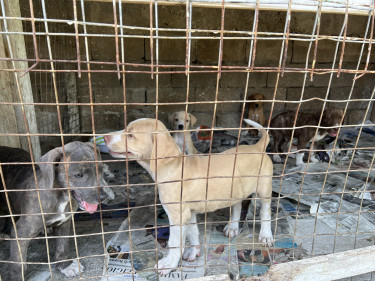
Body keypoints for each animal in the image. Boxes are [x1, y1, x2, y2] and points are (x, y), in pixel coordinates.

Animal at [0, 141, 110, 280]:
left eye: (100, 170)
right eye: (78, 175)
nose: (103, 197)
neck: (61, 195)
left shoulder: (64, 222)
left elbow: (62, 247)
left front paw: (65, 266)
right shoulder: (21, 233)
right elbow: (17, 264)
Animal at [104, 118, 274, 276]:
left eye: (131, 135)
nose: (105, 137)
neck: (171, 166)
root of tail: (258, 147)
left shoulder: (178, 216)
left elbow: (175, 242)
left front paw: (168, 264)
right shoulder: (188, 212)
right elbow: (192, 234)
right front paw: (194, 252)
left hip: (264, 188)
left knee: (266, 211)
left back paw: (266, 235)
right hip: (235, 189)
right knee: (237, 205)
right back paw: (232, 227)